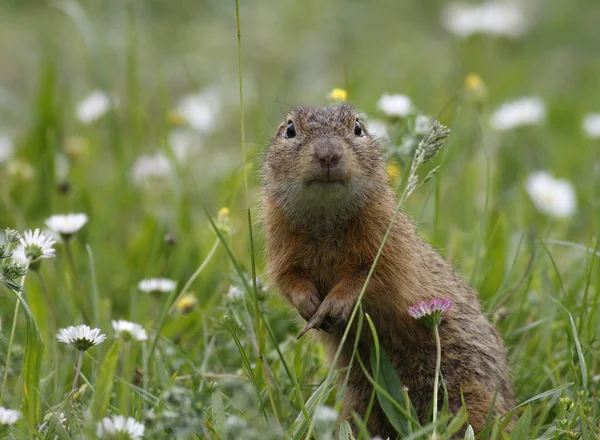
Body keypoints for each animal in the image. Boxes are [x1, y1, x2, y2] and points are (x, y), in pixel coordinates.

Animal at [260, 103, 512, 436]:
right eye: (289, 130)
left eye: (358, 128)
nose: (328, 155)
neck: (325, 220)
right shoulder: (281, 247)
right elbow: (288, 278)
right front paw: (309, 305)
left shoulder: (387, 242)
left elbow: (372, 277)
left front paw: (333, 305)